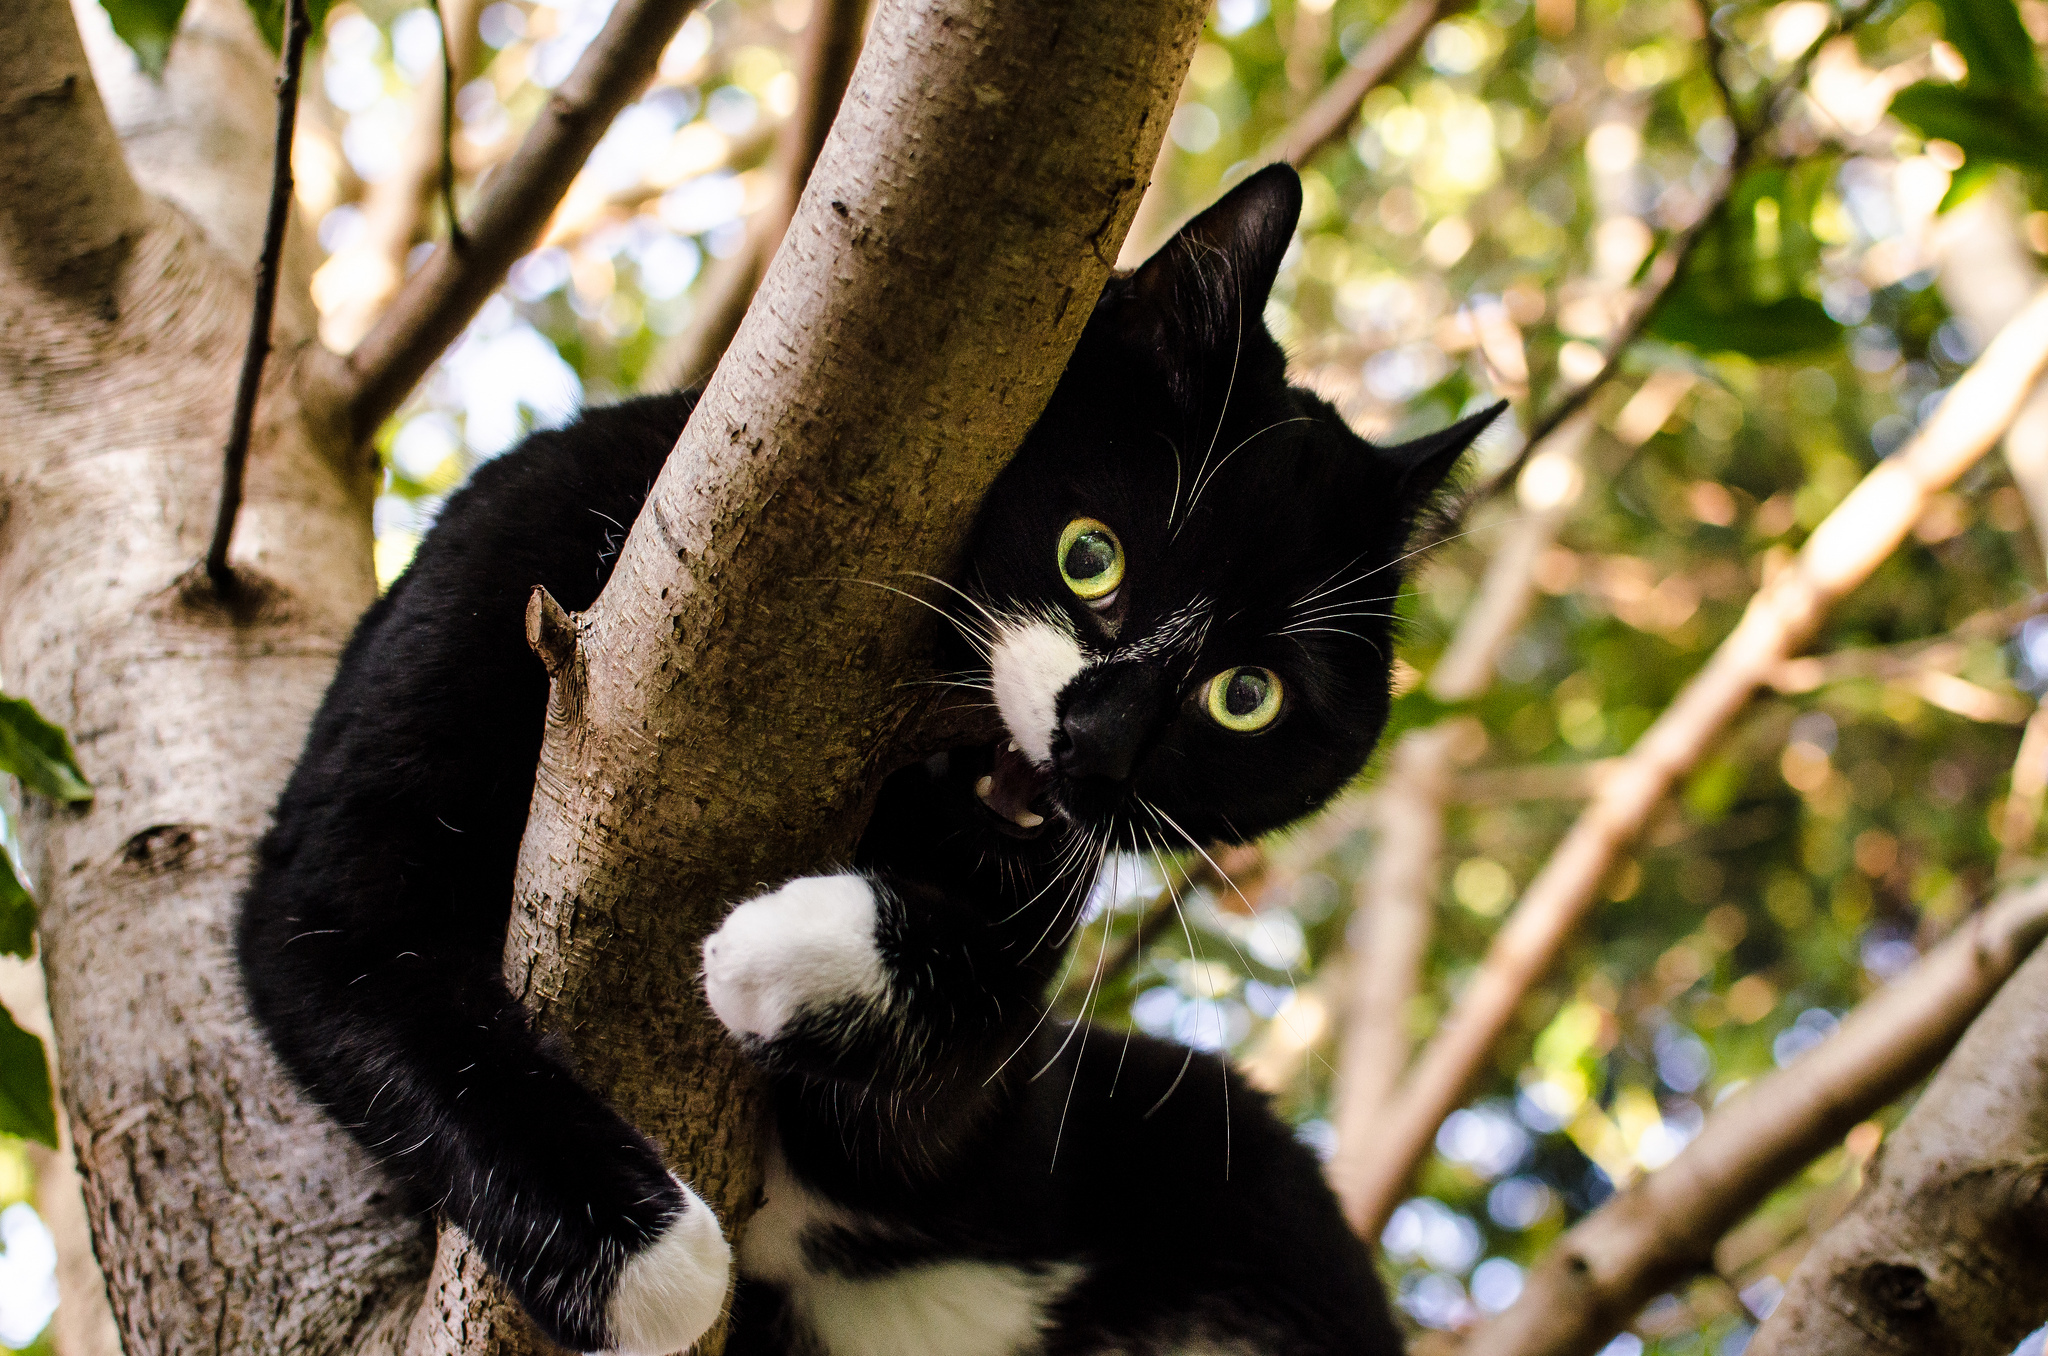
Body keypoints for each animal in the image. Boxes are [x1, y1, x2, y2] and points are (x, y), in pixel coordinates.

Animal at [235, 161, 1507, 1356]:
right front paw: (651, 1264)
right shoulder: (508, 563)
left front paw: (774, 949)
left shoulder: (997, 1124)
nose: (1098, 744)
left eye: (1247, 698)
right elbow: (356, 951)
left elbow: (983, 1027)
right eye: (1089, 555)